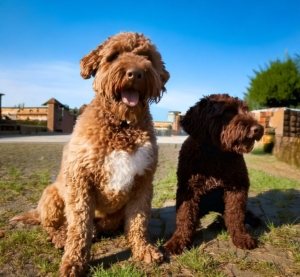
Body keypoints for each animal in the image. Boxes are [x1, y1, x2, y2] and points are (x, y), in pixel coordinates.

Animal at [11, 31, 169, 274]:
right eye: (114, 55)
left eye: (146, 56)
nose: (135, 73)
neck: (122, 125)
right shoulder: (80, 180)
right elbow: (79, 226)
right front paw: (74, 262)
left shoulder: (143, 181)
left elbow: (139, 220)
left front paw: (144, 249)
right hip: (51, 197)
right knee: (53, 226)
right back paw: (60, 237)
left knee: (103, 225)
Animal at [163, 94, 264, 253]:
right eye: (227, 111)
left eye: (246, 109)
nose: (258, 129)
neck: (215, 155)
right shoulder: (188, 190)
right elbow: (184, 216)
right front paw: (178, 240)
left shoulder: (237, 188)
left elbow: (236, 215)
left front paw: (241, 237)